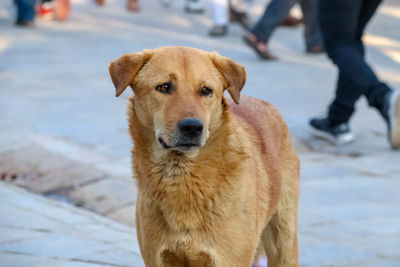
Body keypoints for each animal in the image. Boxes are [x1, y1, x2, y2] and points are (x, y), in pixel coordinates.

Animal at [109, 47, 300, 266]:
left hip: (283, 243)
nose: (192, 127)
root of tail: (265, 103)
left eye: (206, 91)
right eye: (164, 87)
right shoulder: (158, 259)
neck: (181, 175)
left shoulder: (229, 260)